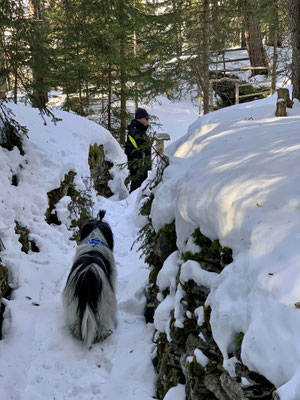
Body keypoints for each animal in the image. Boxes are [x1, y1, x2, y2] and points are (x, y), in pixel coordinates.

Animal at [61, 209, 116, 346]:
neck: (94, 241)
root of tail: (89, 276)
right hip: (105, 302)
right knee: (102, 321)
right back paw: (103, 334)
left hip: (73, 300)